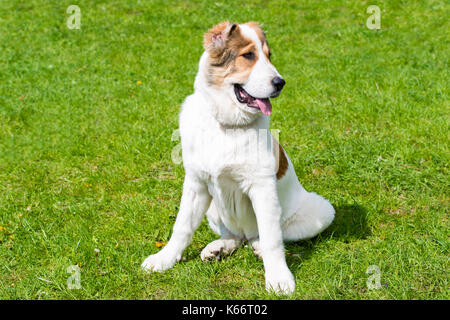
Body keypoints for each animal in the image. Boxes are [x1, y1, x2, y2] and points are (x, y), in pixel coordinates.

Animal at [141, 20, 334, 296]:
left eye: (269, 55)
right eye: (249, 55)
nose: (280, 82)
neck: (227, 126)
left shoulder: (262, 189)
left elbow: (273, 239)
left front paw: (278, 279)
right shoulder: (196, 184)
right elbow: (182, 226)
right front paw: (164, 259)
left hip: (322, 210)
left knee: (266, 236)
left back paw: (257, 248)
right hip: (213, 207)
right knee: (236, 236)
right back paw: (218, 249)